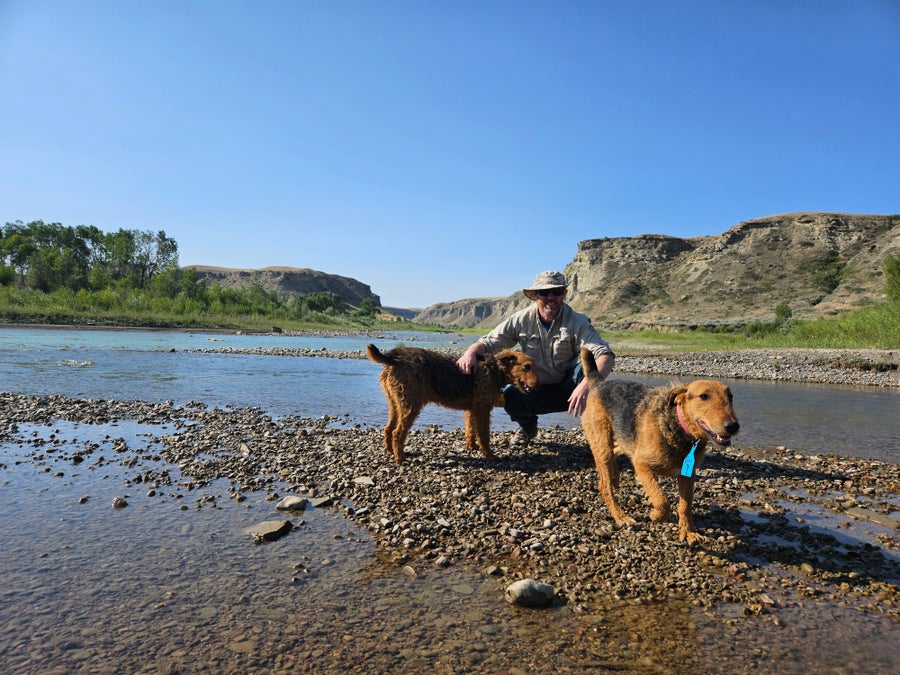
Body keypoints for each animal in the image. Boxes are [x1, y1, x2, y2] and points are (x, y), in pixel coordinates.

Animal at [364, 344, 536, 464]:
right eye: (526, 366)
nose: (537, 385)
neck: (495, 370)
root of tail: (395, 358)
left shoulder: (472, 409)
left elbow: (470, 429)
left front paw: (472, 447)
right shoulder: (482, 409)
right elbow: (484, 435)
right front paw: (489, 455)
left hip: (396, 404)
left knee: (388, 429)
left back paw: (390, 452)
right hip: (410, 406)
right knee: (397, 433)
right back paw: (400, 459)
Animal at [580, 348, 740, 544]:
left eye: (730, 397)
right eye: (704, 396)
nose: (732, 426)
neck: (678, 427)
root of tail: (598, 384)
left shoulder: (687, 475)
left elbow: (685, 506)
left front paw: (689, 532)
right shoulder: (642, 465)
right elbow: (662, 501)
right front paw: (655, 515)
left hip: (621, 441)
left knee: (615, 452)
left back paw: (615, 478)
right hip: (602, 442)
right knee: (604, 485)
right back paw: (621, 516)